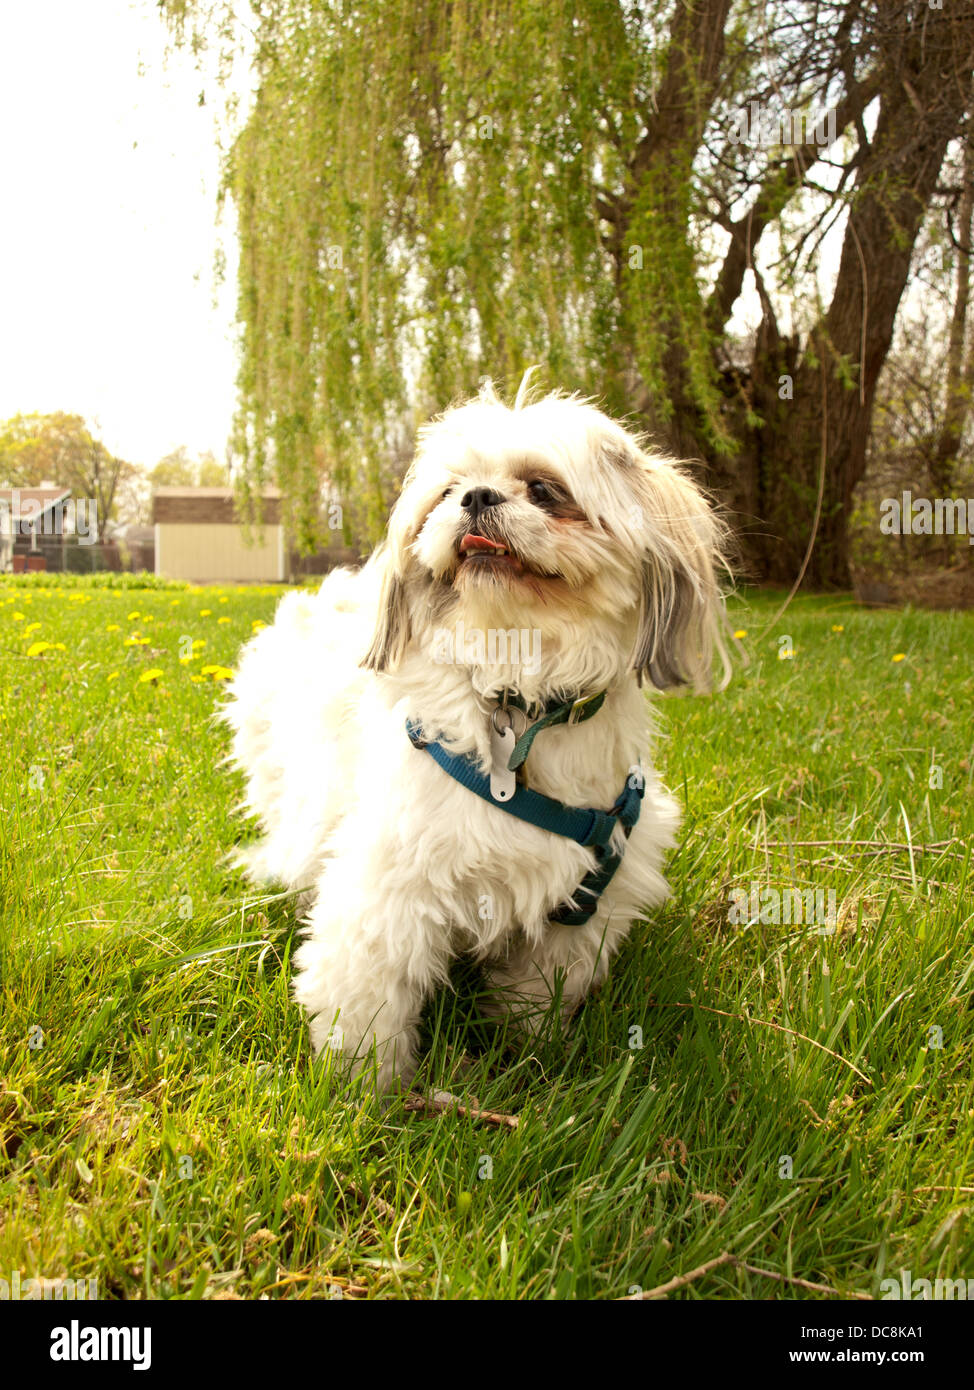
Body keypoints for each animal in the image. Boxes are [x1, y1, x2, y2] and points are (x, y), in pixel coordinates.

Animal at [223, 375, 728, 1089]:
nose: (478, 496)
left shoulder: (579, 909)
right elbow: (367, 1003)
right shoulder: (388, 887)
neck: (521, 698)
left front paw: (526, 1055)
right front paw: (364, 1091)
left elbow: (536, 997)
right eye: (447, 491)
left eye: (544, 489)